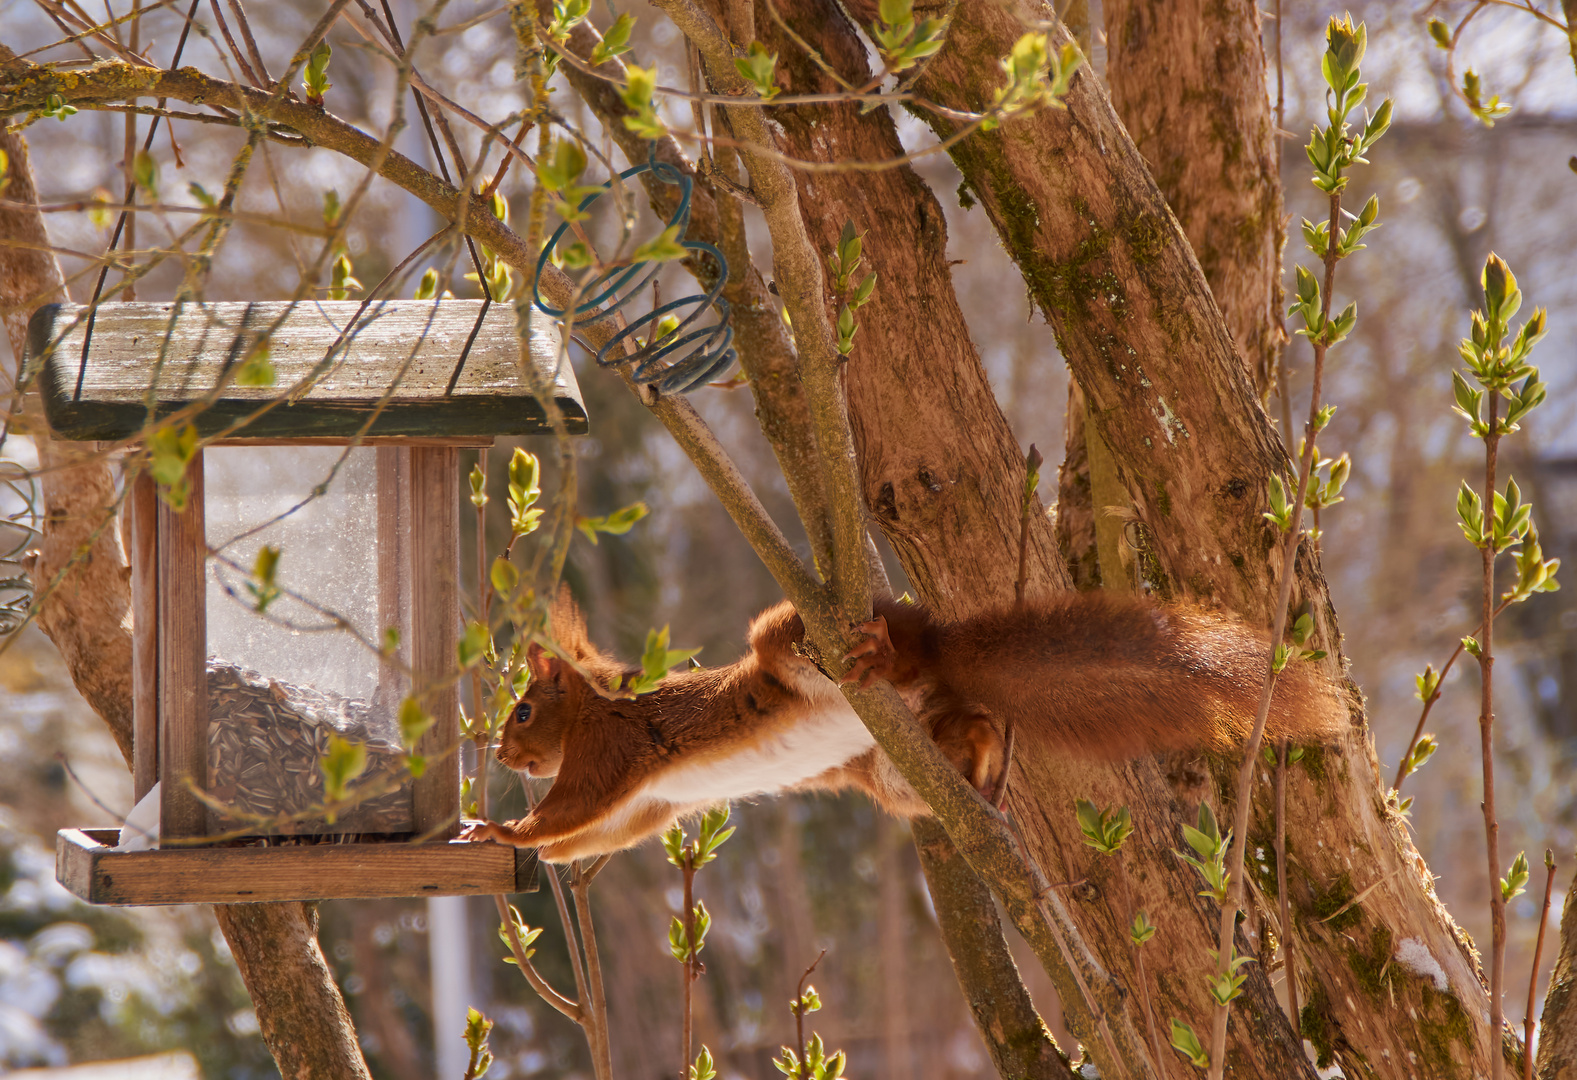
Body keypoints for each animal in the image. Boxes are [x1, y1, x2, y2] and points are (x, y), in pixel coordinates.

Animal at [460, 589, 1349, 857]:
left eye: (525, 709)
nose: (500, 751)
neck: (594, 707)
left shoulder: (611, 755)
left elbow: (570, 811)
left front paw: (502, 831)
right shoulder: (653, 804)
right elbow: (593, 838)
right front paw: (517, 847)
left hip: (795, 643)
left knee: (879, 655)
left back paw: (882, 651)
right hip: (896, 773)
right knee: (975, 724)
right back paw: (987, 775)